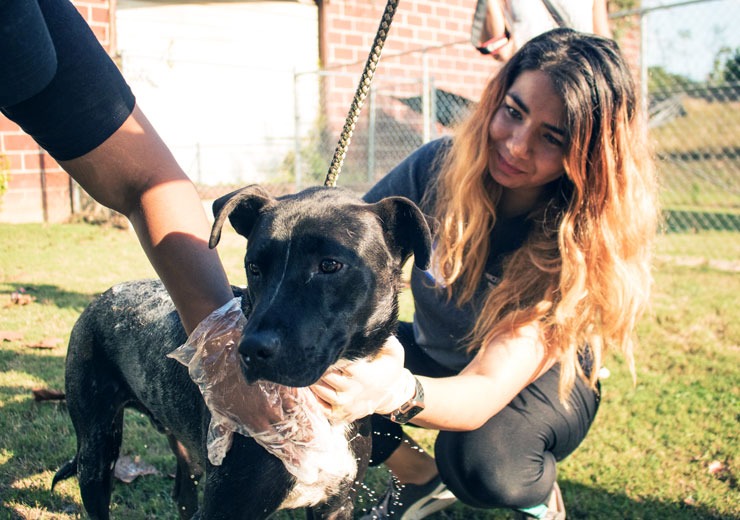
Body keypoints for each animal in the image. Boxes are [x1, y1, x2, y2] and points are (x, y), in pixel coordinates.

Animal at [52, 185, 430, 516]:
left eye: (330, 265)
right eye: (254, 267)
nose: (250, 350)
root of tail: (102, 297)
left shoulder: (336, 505)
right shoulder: (225, 508)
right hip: (96, 451)